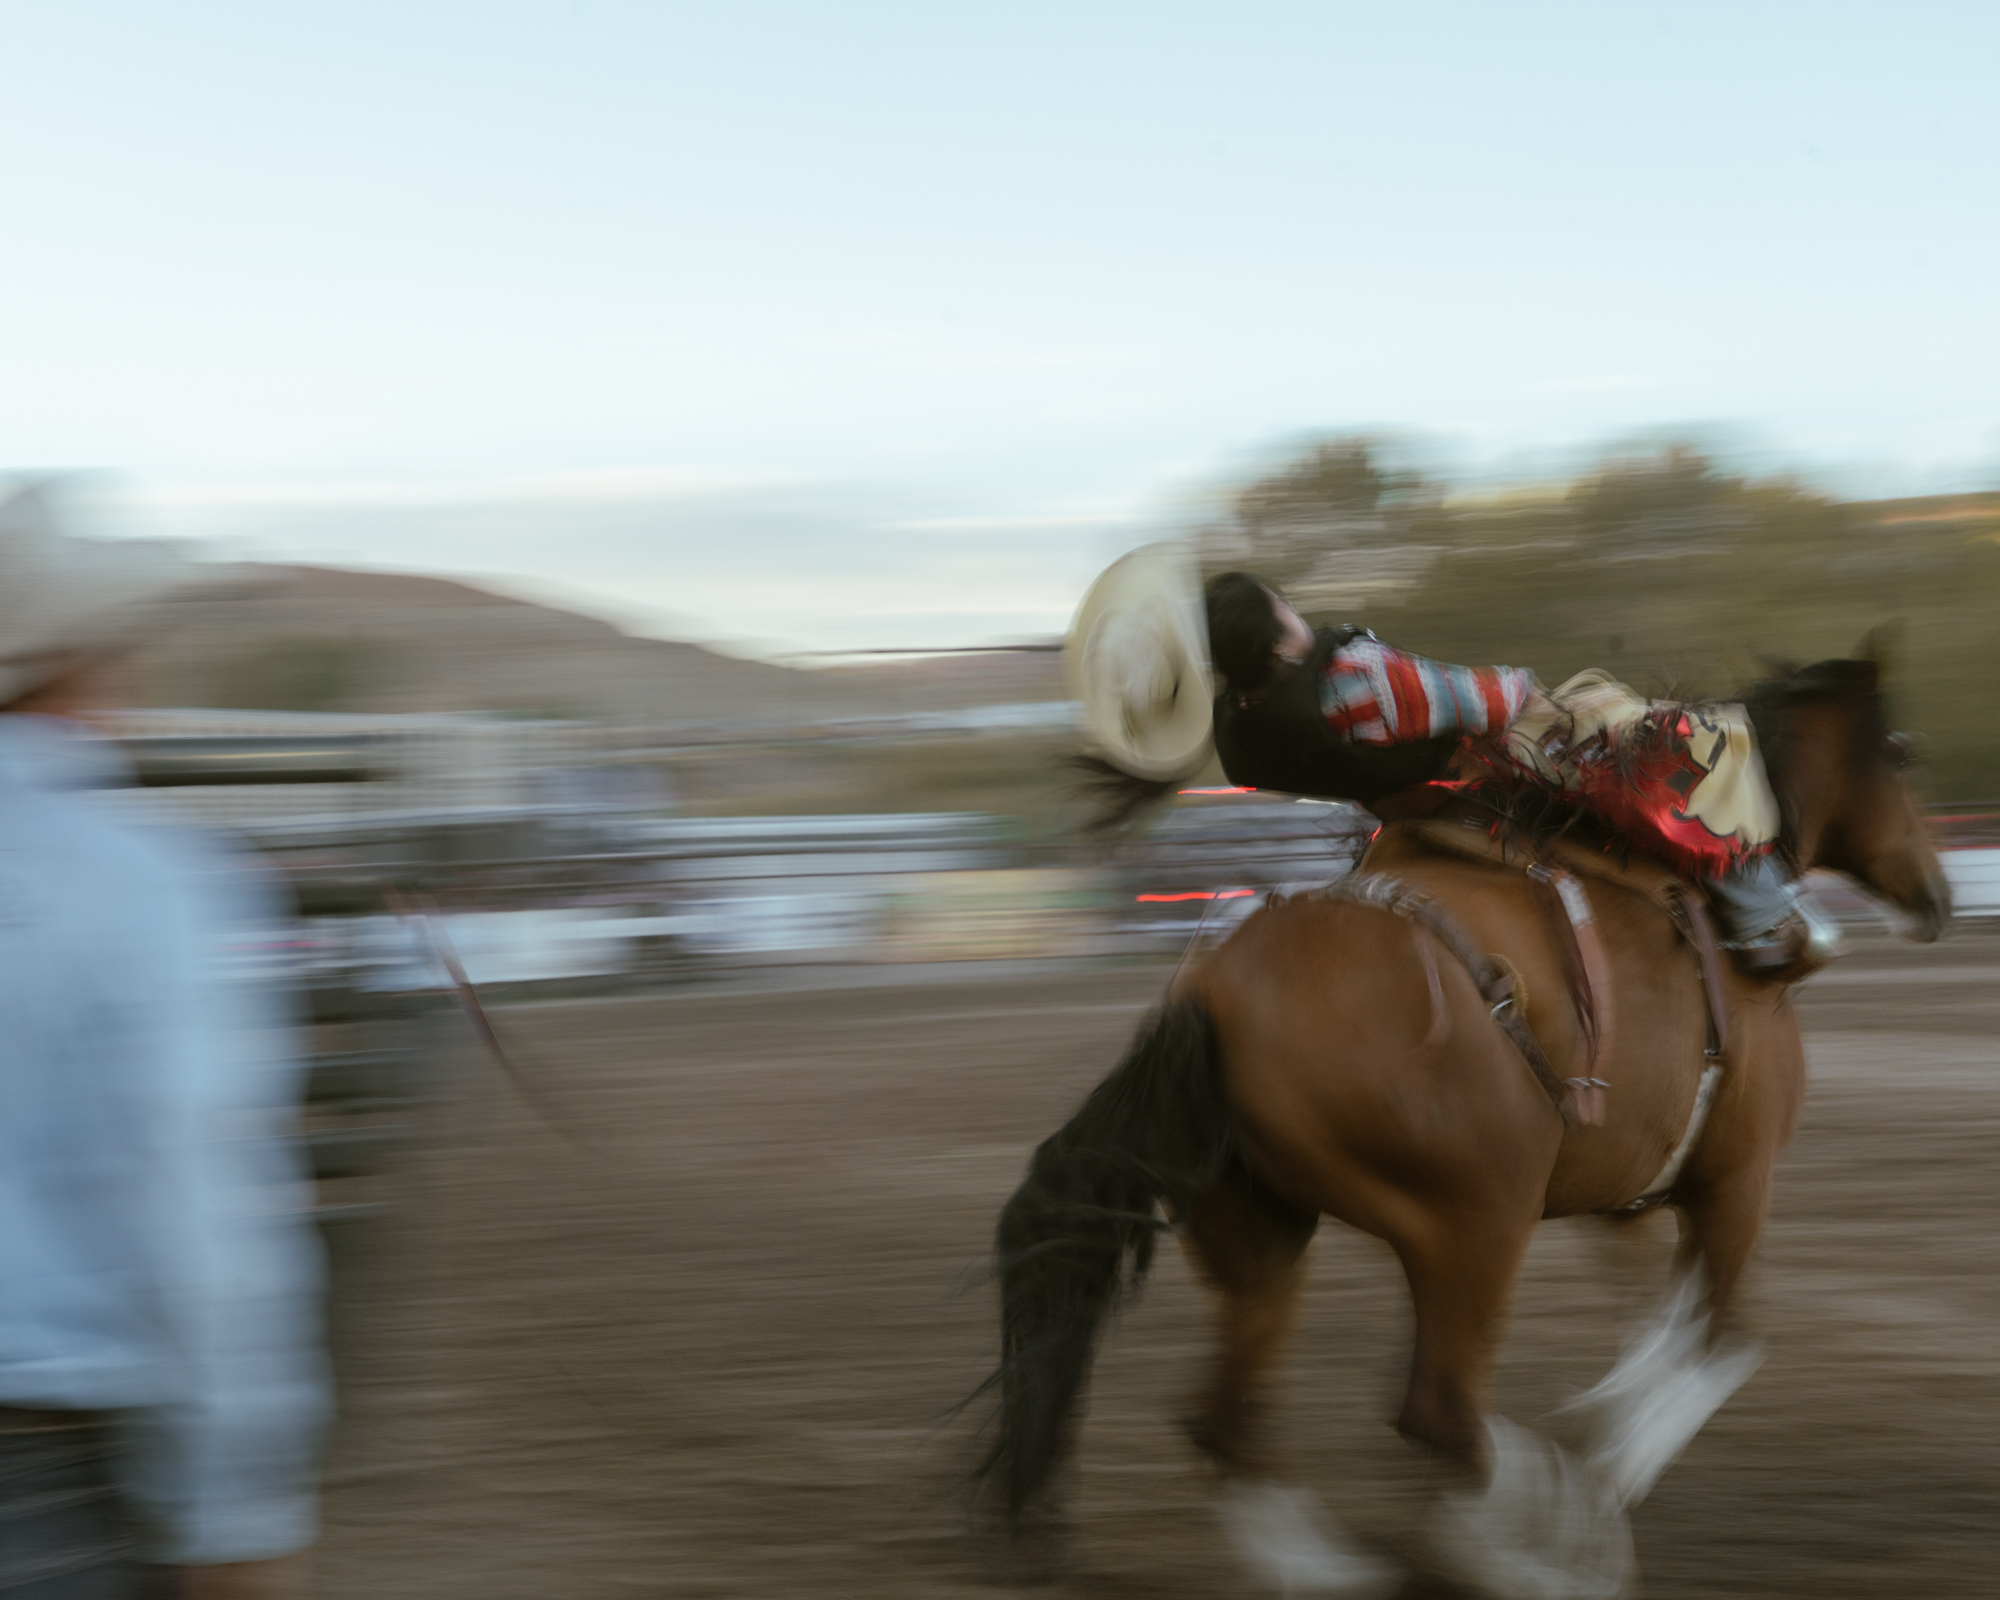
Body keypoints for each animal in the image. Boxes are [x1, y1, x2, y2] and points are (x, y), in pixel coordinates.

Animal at [977, 651, 1949, 1598]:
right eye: (1899, 754)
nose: (1937, 896)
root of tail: (1210, 998)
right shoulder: (1737, 1179)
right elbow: (1719, 1343)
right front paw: (1598, 1485)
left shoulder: (1626, 1199)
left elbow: (1657, 1325)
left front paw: (1597, 1429)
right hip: (1475, 1226)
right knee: (1438, 1416)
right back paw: (1534, 1552)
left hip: (1261, 1234)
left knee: (1229, 1424)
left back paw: (1337, 1568)